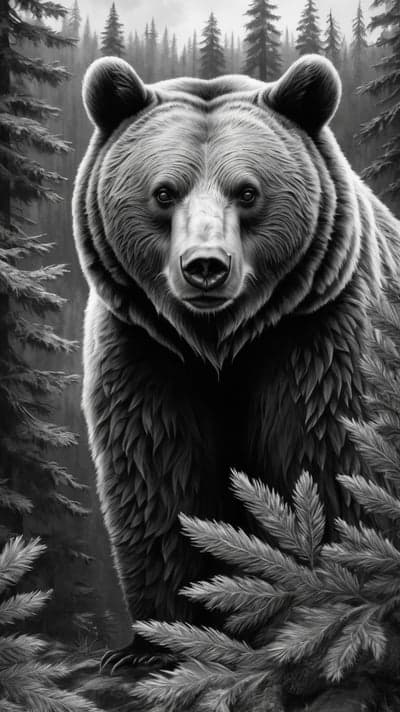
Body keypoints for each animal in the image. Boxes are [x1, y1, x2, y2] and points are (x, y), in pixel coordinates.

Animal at [72, 54, 400, 672]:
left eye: (247, 191)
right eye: (164, 191)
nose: (205, 265)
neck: (223, 343)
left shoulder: (320, 334)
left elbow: (330, 461)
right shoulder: (147, 352)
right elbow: (158, 479)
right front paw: (155, 643)